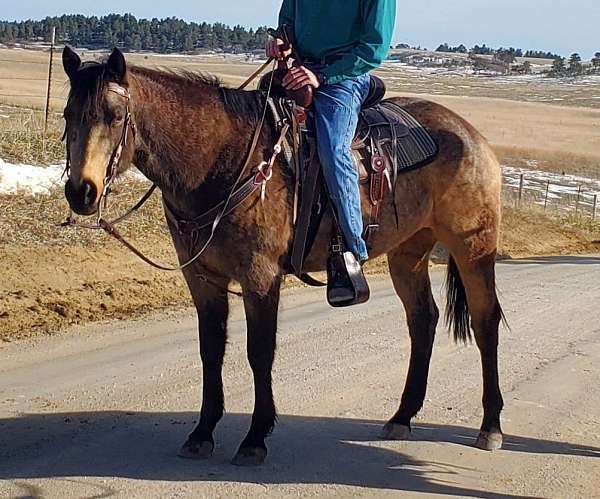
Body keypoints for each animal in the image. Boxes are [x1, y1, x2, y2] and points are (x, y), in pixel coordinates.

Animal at [61, 47, 504, 468]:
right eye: (68, 114)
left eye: (116, 116)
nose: (81, 191)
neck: (223, 163)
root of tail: (470, 134)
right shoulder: (203, 280)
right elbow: (210, 351)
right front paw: (203, 432)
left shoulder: (259, 278)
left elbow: (259, 353)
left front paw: (255, 438)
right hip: (408, 253)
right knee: (422, 320)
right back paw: (402, 417)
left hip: (472, 249)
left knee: (485, 323)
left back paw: (491, 426)